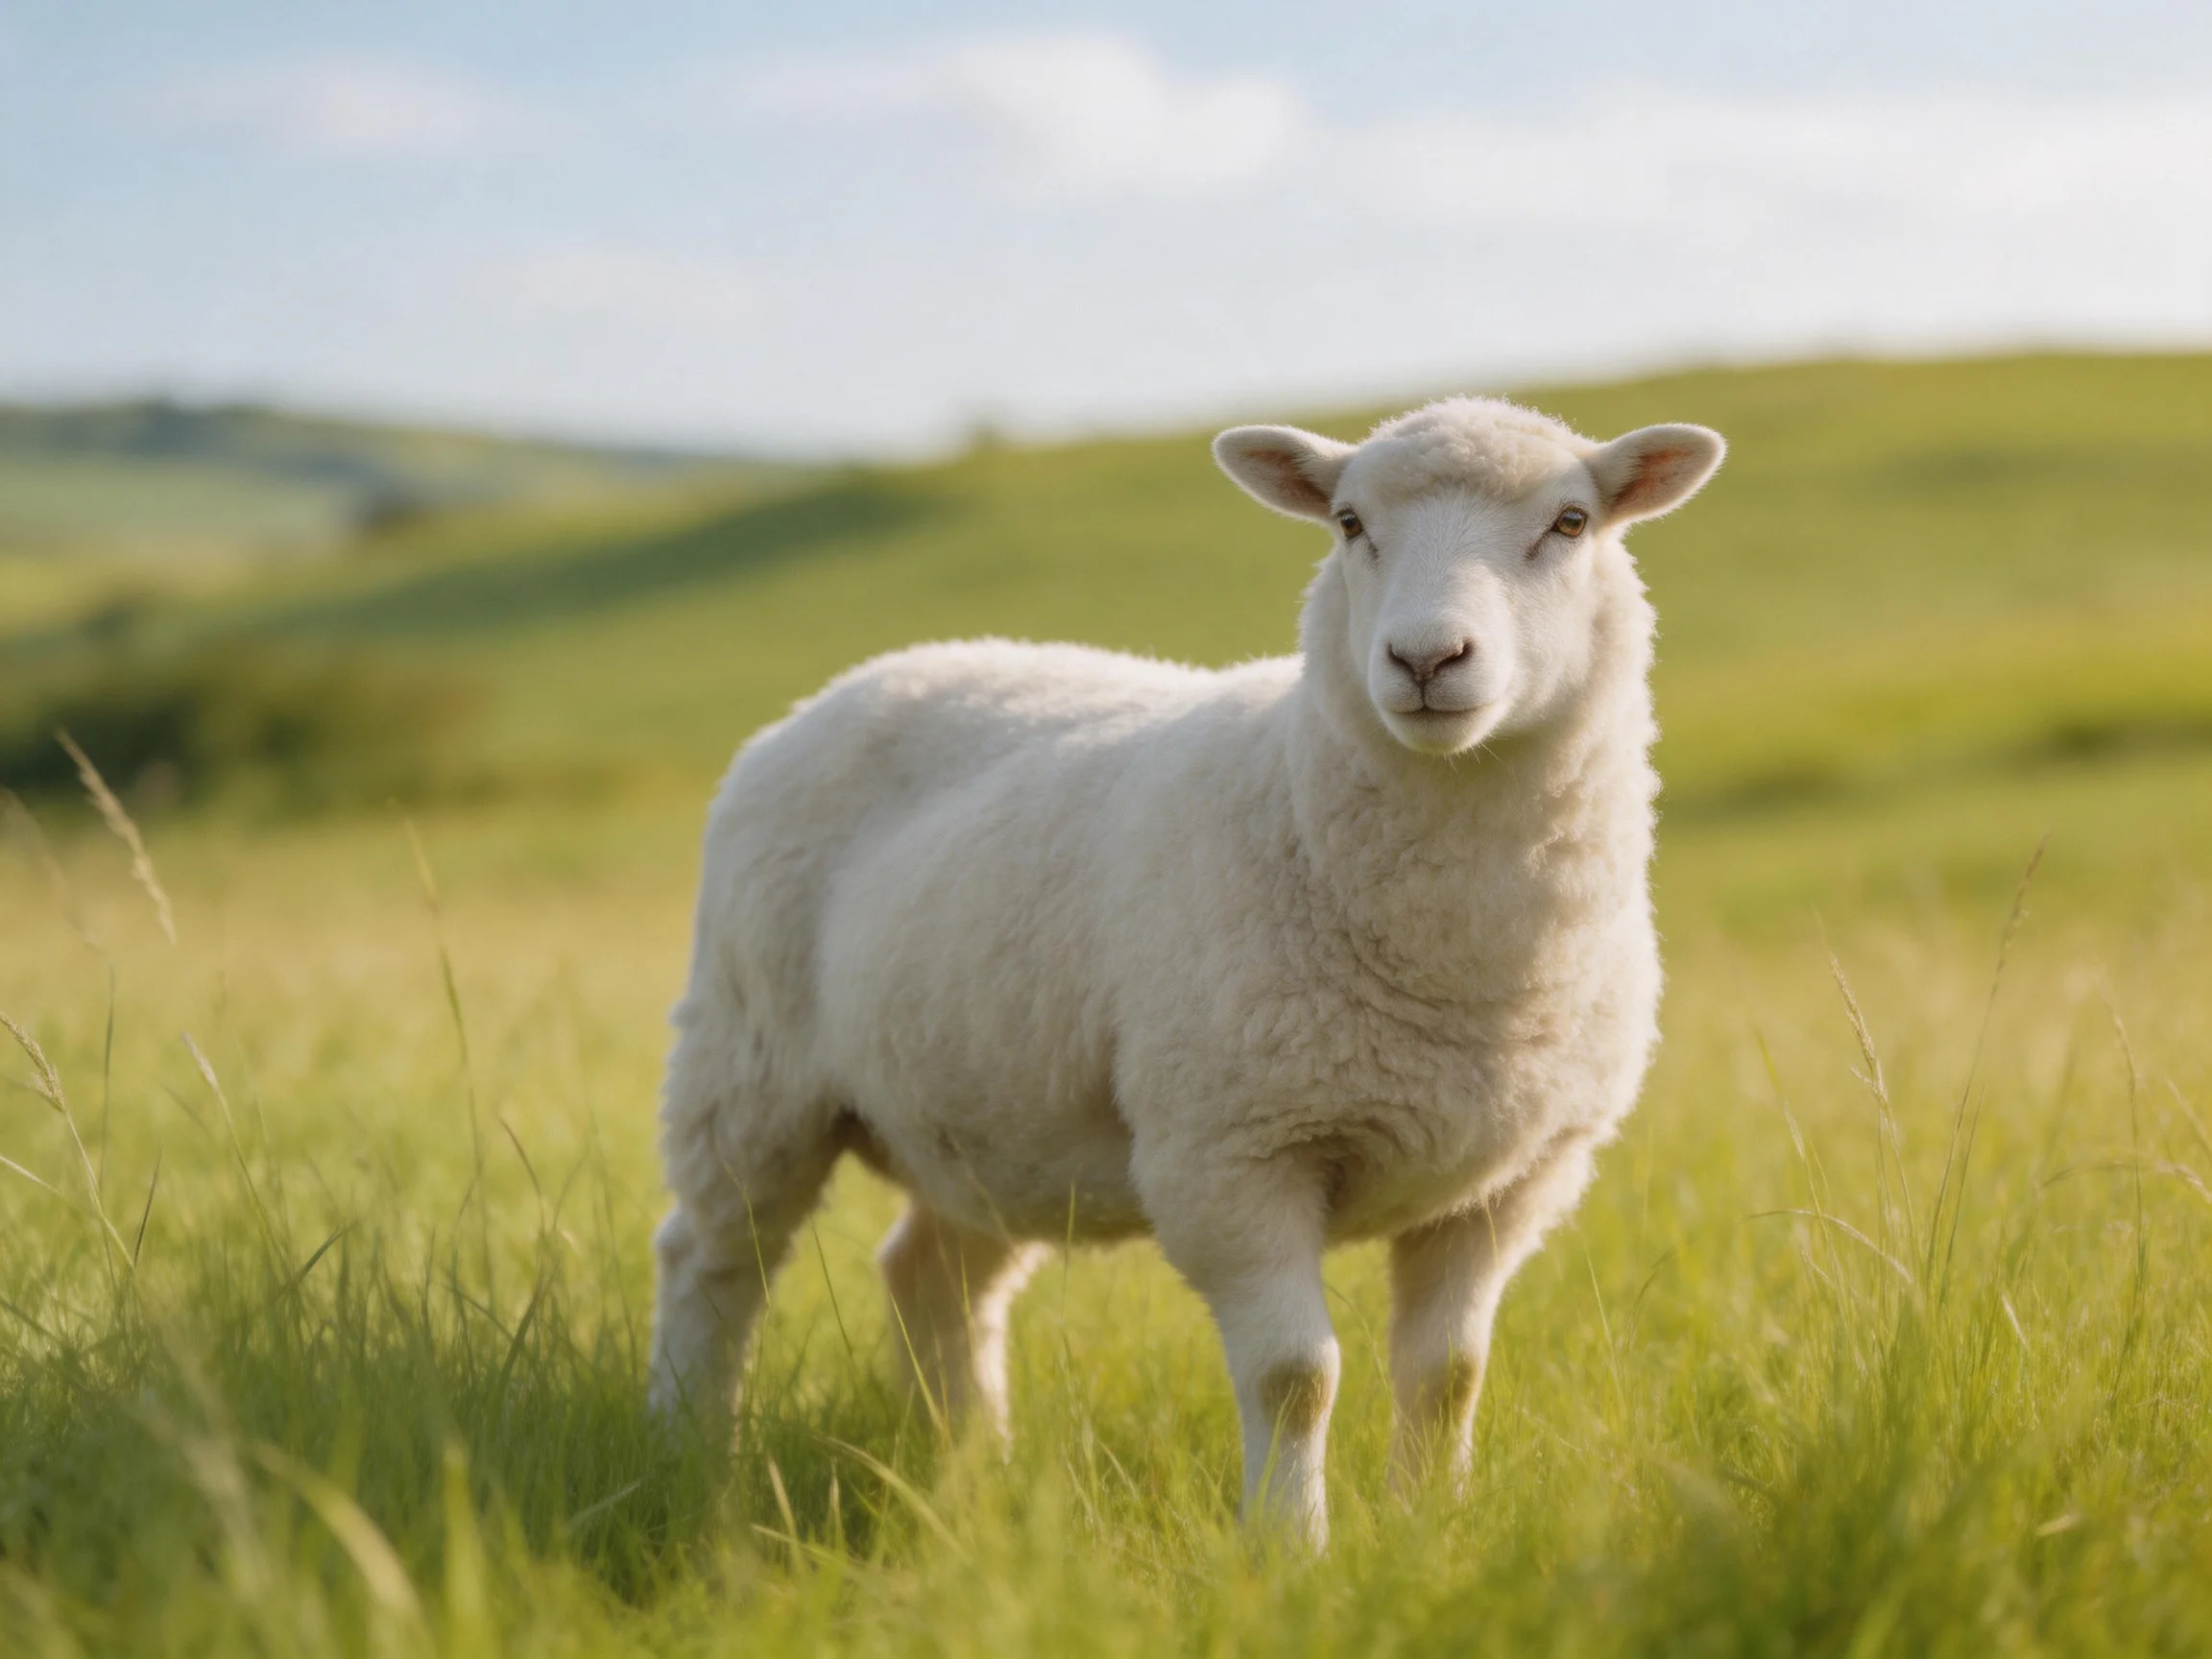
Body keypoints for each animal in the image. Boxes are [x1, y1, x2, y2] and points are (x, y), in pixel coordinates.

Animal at [648, 397, 1725, 1547]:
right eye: (1348, 523)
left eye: (1571, 522)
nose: (1427, 658)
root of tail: (847, 686)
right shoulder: (1232, 1151)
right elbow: (1297, 1377)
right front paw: (1292, 1548)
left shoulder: (1514, 1178)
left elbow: (1450, 1375)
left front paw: (1435, 1528)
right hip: (751, 1064)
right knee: (709, 1258)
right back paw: (687, 1451)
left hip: (984, 1112)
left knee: (933, 1277)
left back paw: (977, 1476)